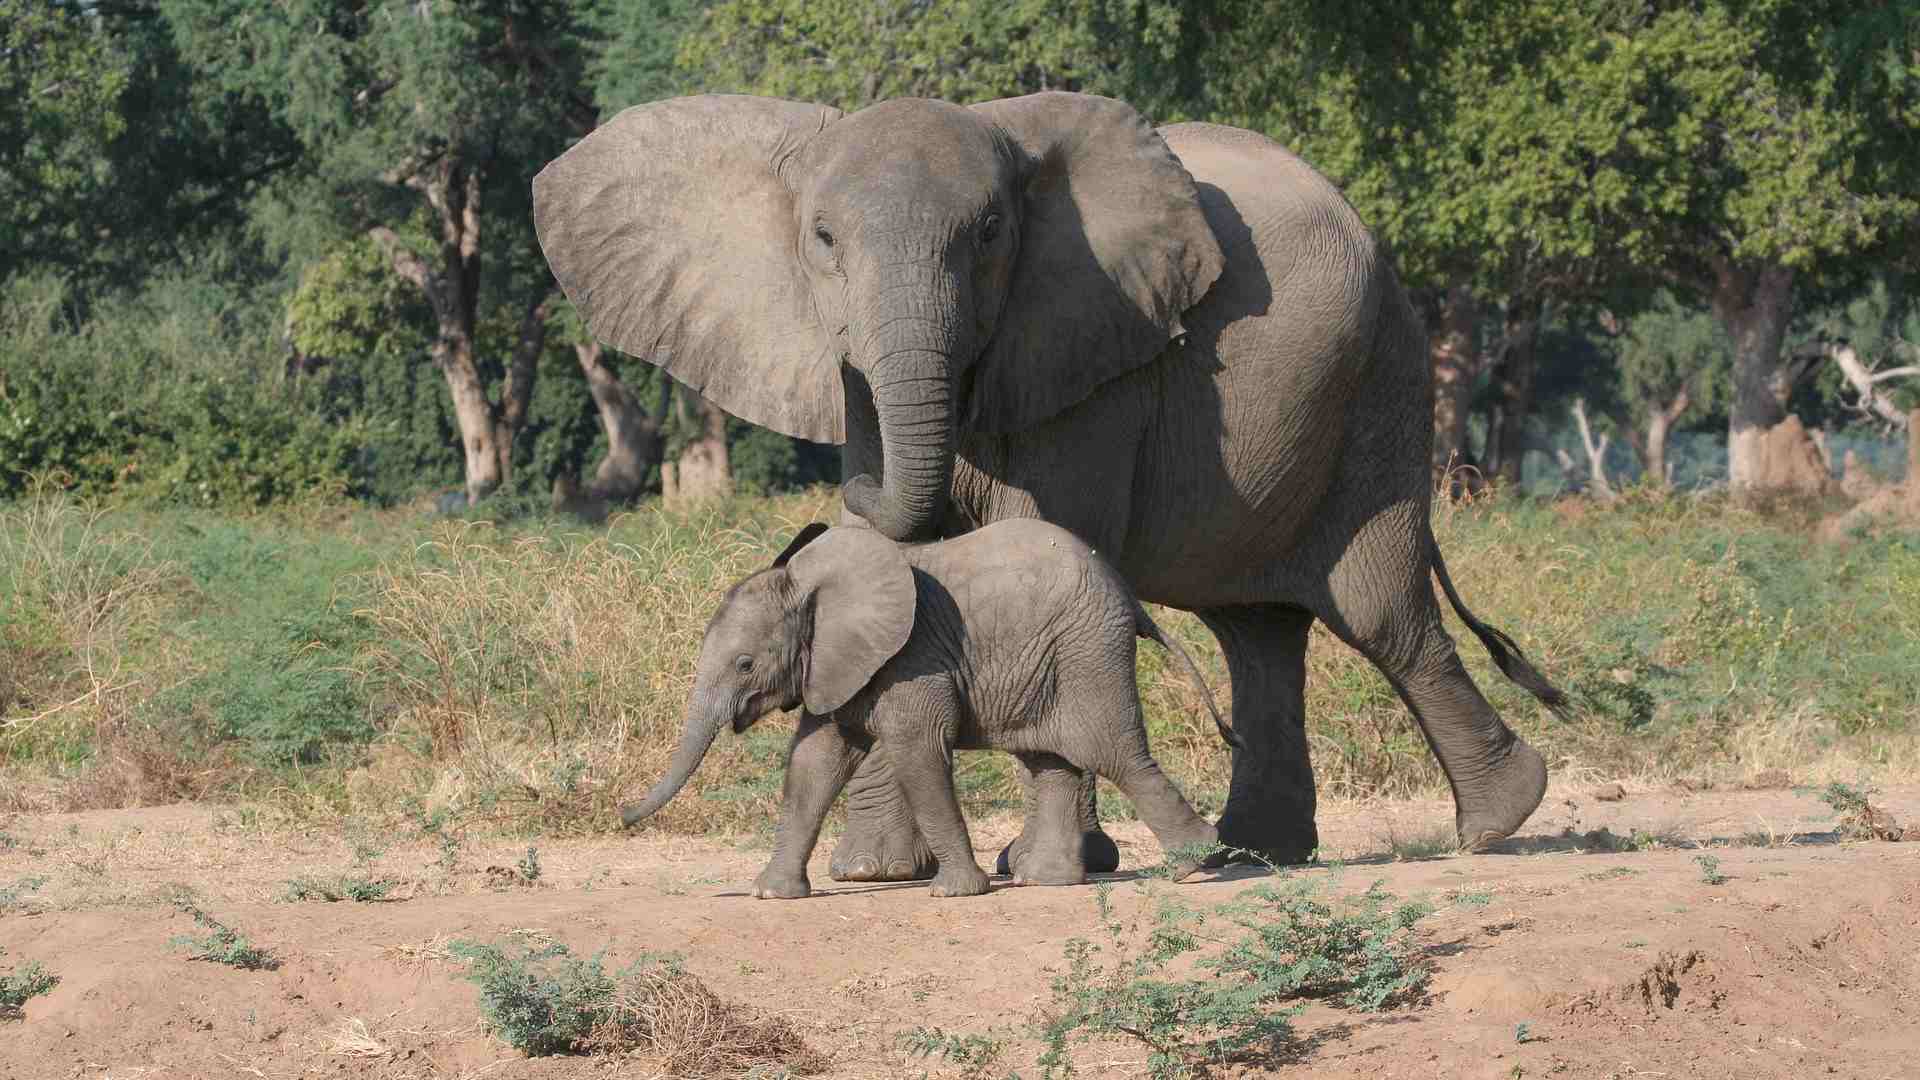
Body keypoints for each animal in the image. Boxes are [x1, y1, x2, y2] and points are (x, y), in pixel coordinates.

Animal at [618, 519, 1232, 898]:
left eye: (745, 664)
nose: (622, 814)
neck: (811, 586)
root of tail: (1128, 594)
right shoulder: (839, 666)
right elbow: (814, 763)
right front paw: (771, 893)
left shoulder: (913, 656)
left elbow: (918, 751)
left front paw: (958, 893)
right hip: (1047, 665)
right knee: (1050, 760)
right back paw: (1044, 882)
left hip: (1089, 653)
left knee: (1114, 754)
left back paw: (1196, 865)